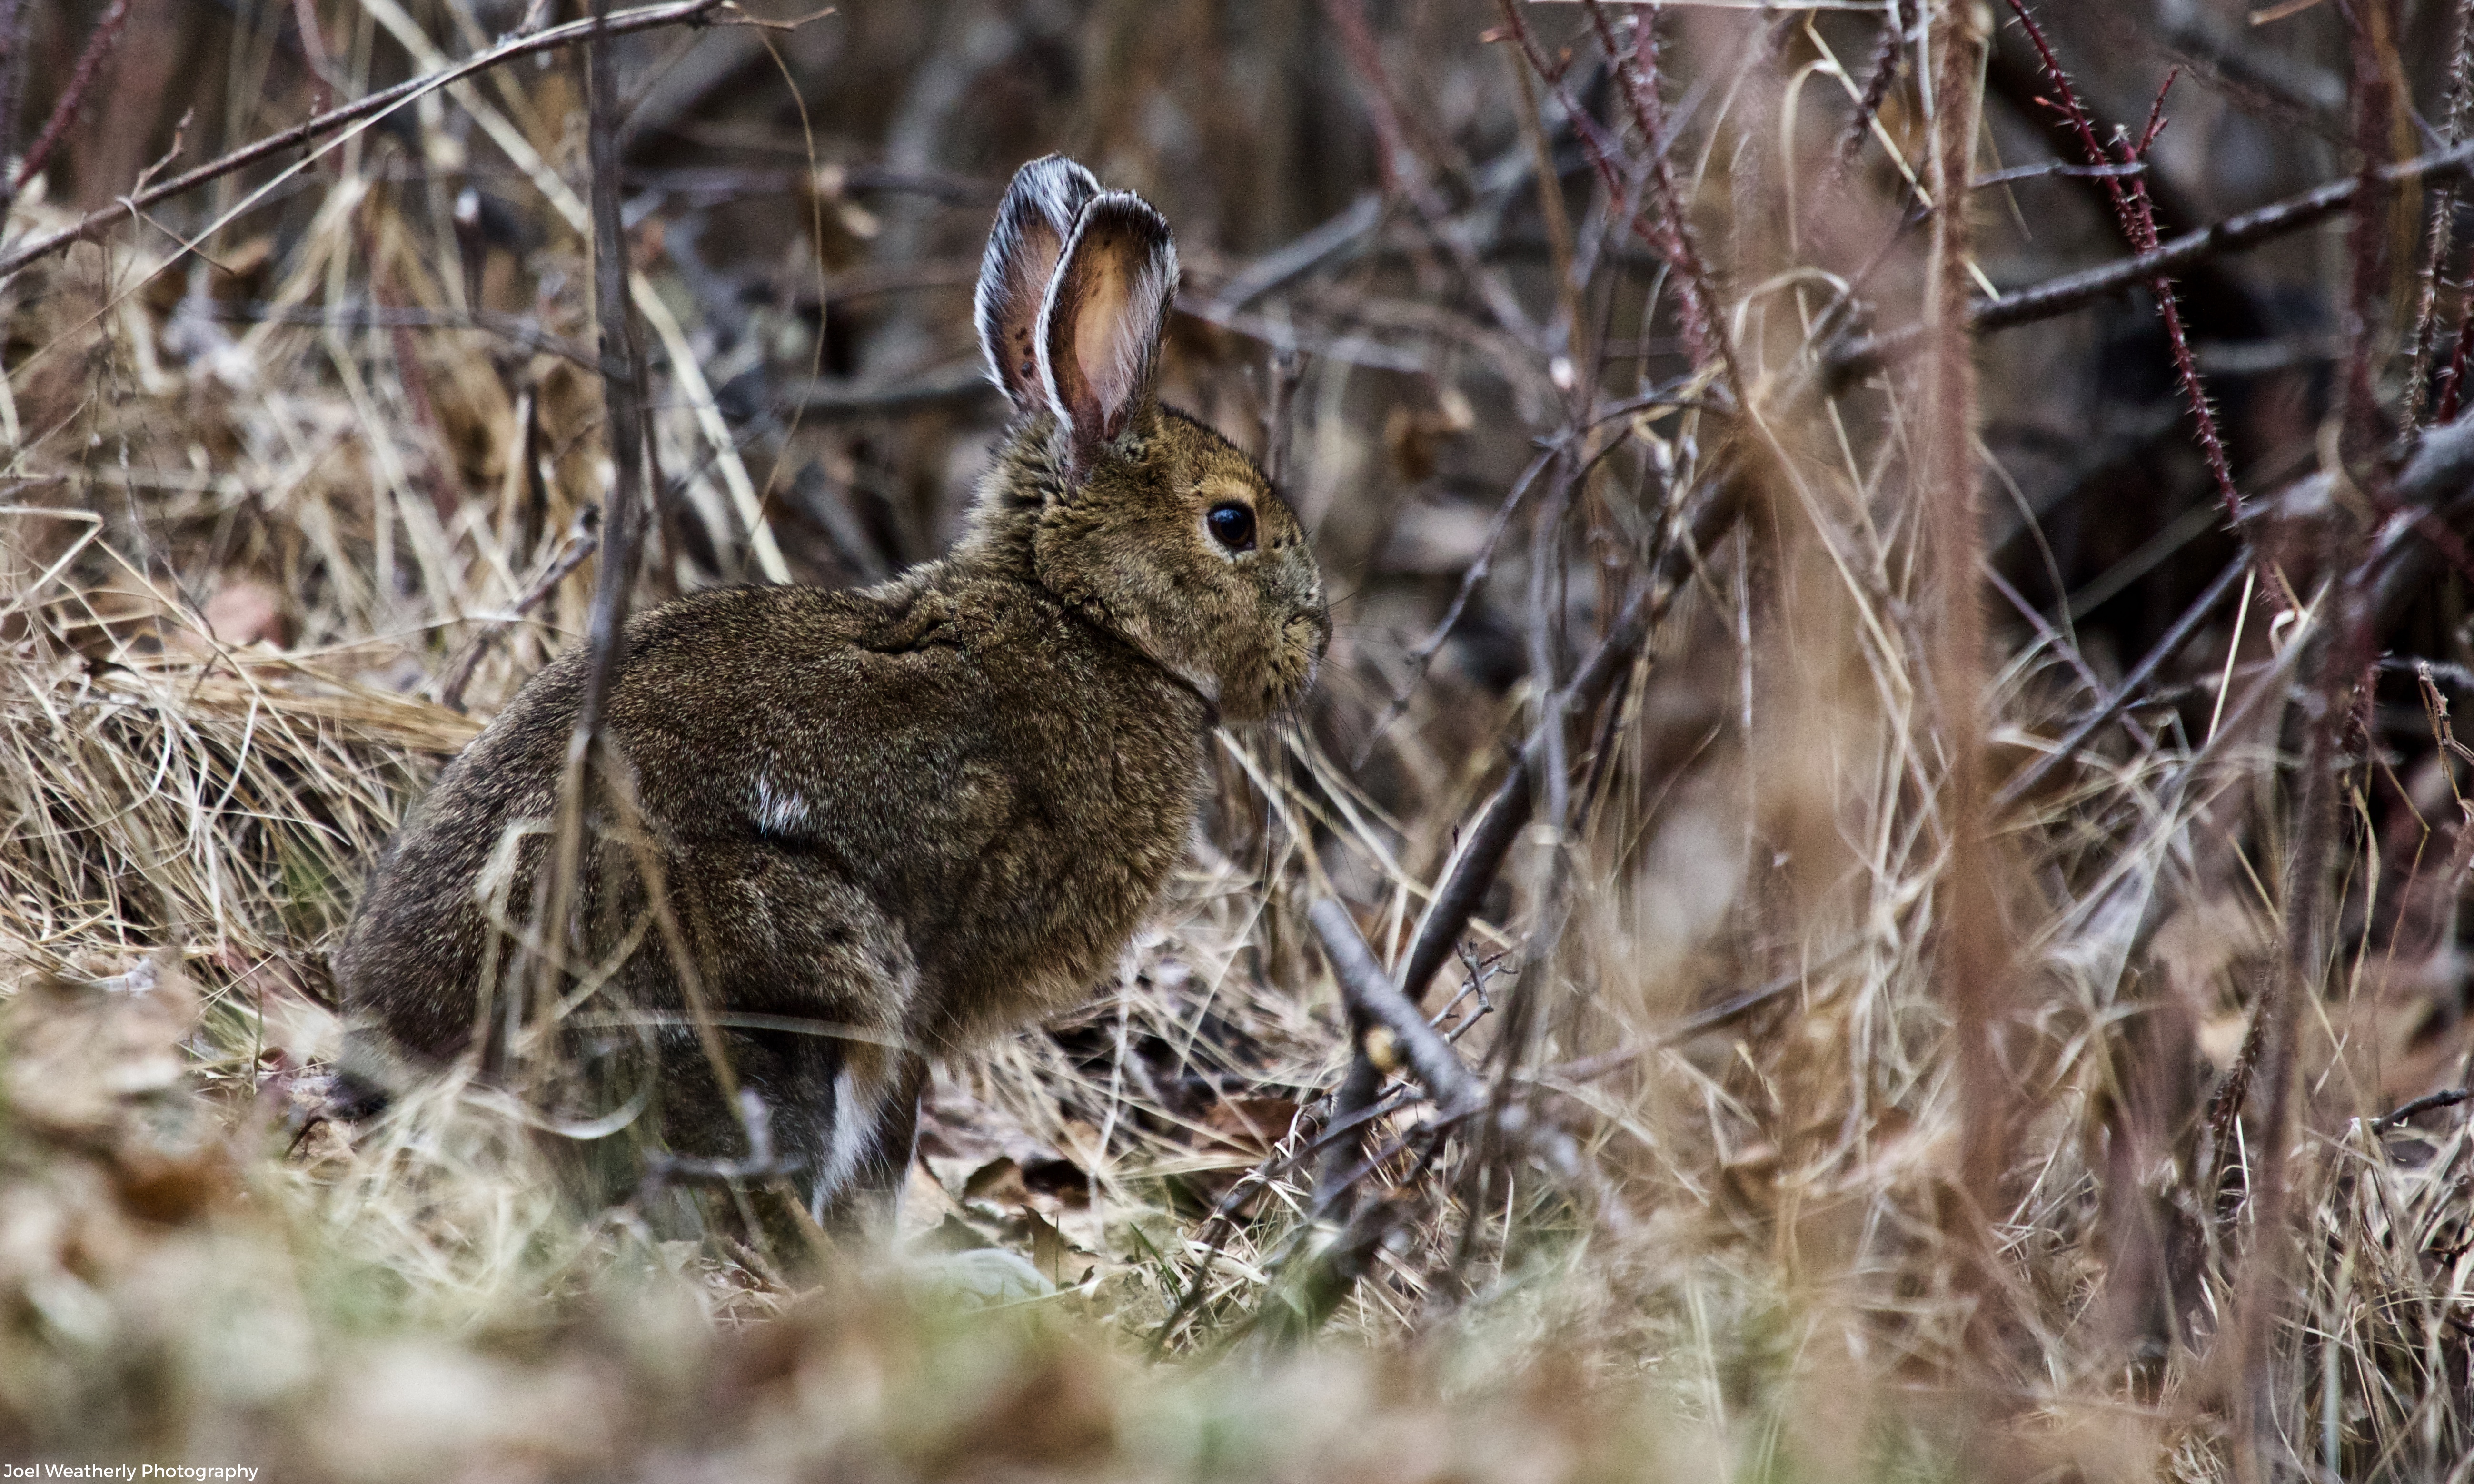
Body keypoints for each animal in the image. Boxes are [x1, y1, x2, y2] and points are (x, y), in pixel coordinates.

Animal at [333, 155, 1328, 1233]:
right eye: (1231, 524)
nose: (1313, 642)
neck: (1083, 613)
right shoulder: (935, 987)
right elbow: (893, 1134)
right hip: (796, 961)